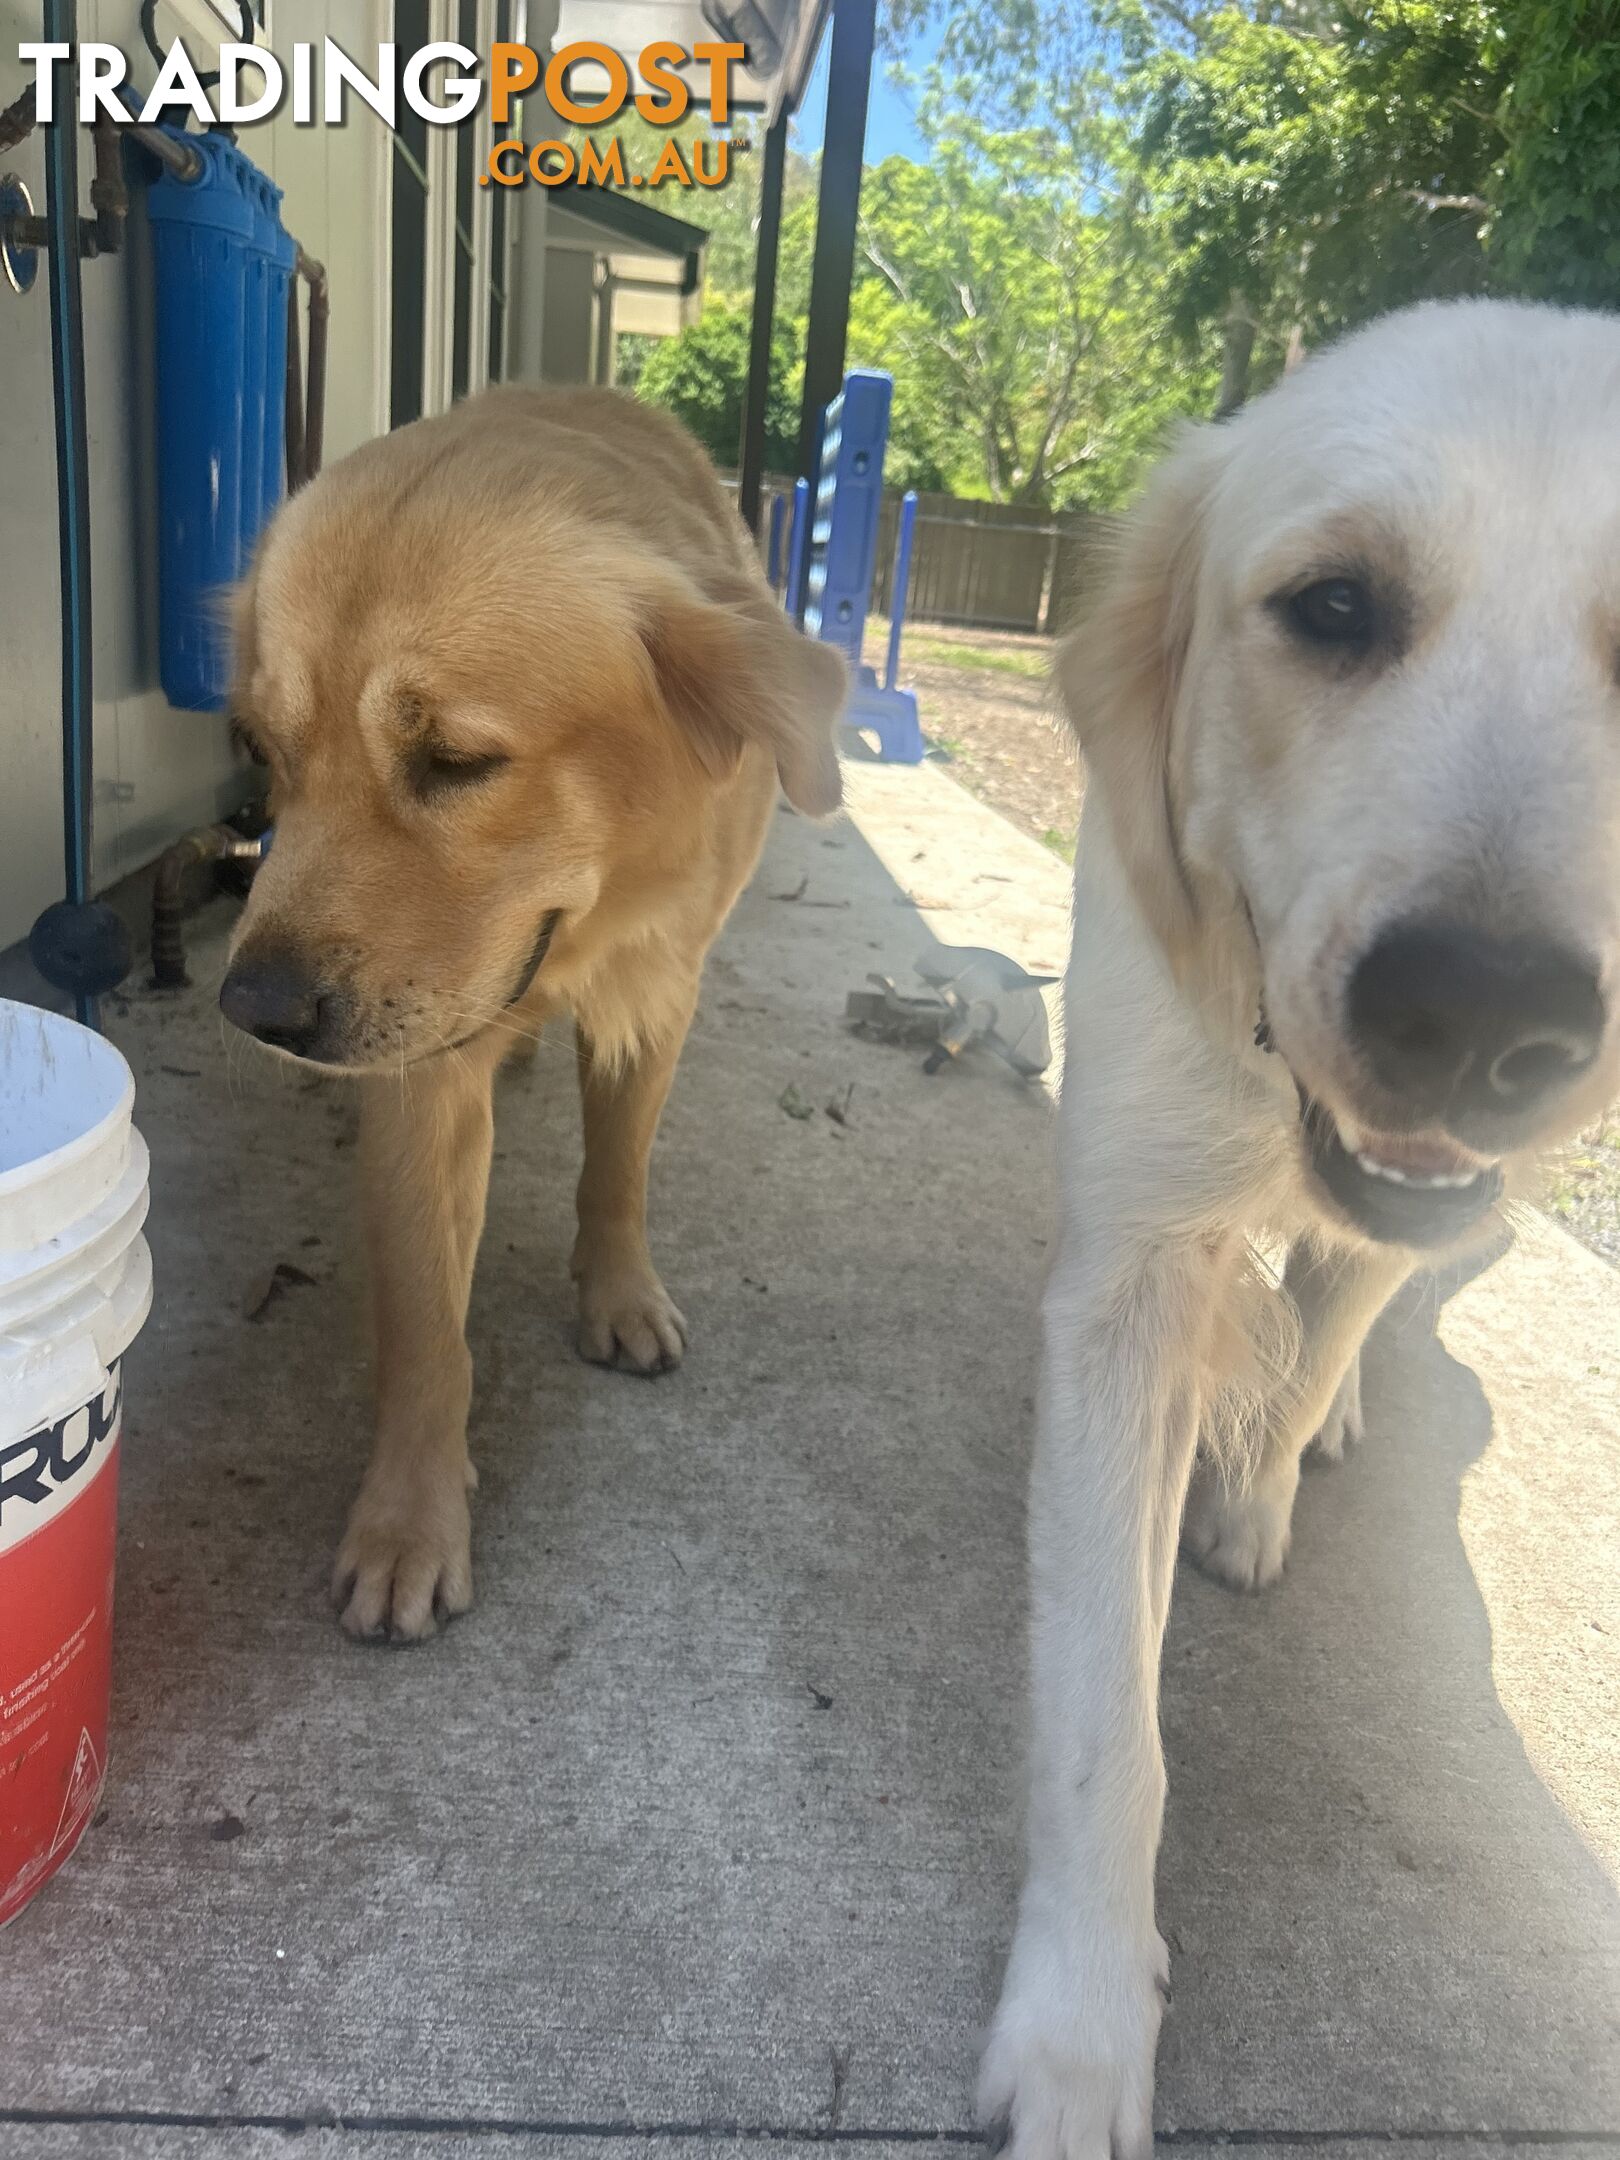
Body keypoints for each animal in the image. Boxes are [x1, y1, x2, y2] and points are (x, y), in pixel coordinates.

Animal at [220, 388, 842, 1632]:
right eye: (262, 751)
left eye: (457, 761)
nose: (250, 1009)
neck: (586, 918)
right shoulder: (423, 1068)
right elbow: (425, 1328)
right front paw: (410, 1518)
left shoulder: (657, 986)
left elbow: (618, 1169)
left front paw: (618, 1291)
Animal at [976, 304, 1620, 2160]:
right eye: (1334, 607)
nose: (1478, 1018)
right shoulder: (1125, 1283)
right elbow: (1104, 1734)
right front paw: (1082, 2032)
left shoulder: (1409, 1210)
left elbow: (1336, 1307)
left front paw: (1255, 1490)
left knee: (1352, 1301)